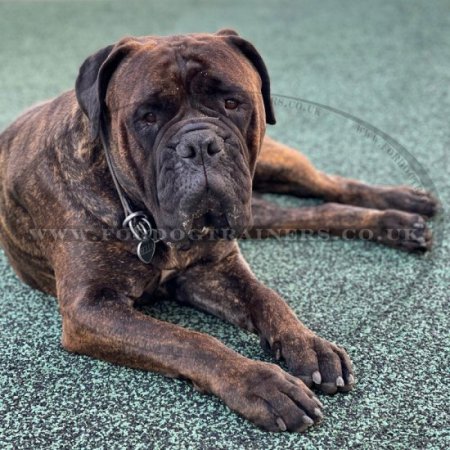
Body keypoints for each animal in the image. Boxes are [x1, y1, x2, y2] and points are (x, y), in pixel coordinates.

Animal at [0, 29, 436, 430]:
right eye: (148, 116)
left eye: (232, 102)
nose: (199, 144)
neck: (143, 216)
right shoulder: (91, 308)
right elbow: (190, 341)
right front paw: (261, 383)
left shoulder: (216, 268)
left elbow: (267, 298)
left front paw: (308, 345)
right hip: (261, 214)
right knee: (314, 209)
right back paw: (400, 221)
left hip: (275, 167)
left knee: (327, 185)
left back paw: (406, 207)